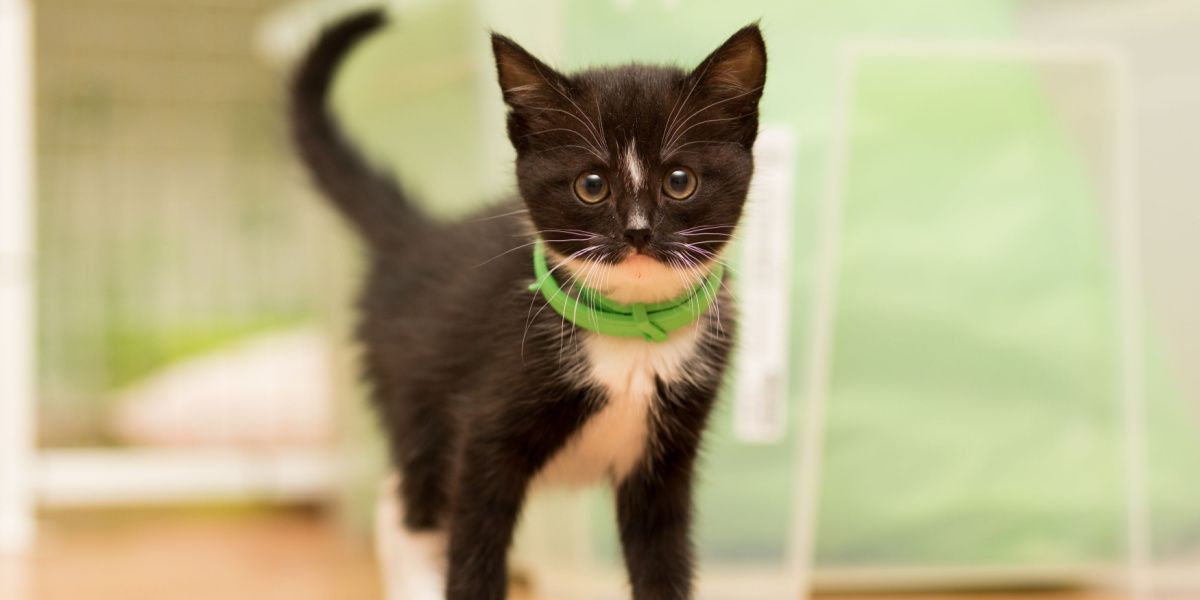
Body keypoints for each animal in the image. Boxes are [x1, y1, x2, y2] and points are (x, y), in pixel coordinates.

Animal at [292, 10, 768, 600]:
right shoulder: (484, 433)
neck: (631, 333)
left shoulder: (666, 456)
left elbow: (663, 557)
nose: (637, 233)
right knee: (407, 505)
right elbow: (474, 546)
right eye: (592, 185)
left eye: (680, 181)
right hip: (414, 398)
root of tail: (419, 235)